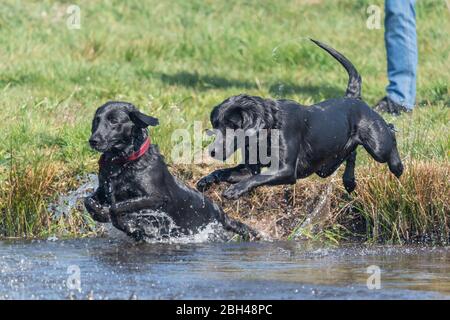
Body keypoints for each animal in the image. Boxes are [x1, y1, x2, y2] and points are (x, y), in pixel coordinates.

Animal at [84, 101, 258, 241]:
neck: (124, 163)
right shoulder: (104, 189)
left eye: (114, 121)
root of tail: (221, 214)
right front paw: (99, 213)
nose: (93, 140)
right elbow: (88, 200)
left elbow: (117, 207)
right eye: (96, 120)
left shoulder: (157, 197)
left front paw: (115, 219)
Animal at [197, 39, 404, 200]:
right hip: (327, 166)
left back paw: (397, 166)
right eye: (215, 126)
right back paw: (349, 182)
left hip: (377, 145)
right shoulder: (250, 168)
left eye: (232, 126)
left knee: (390, 131)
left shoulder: (286, 171)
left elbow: (256, 178)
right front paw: (206, 179)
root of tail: (353, 98)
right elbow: (233, 173)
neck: (270, 126)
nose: (212, 152)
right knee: (351, 153)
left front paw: (235, 190)